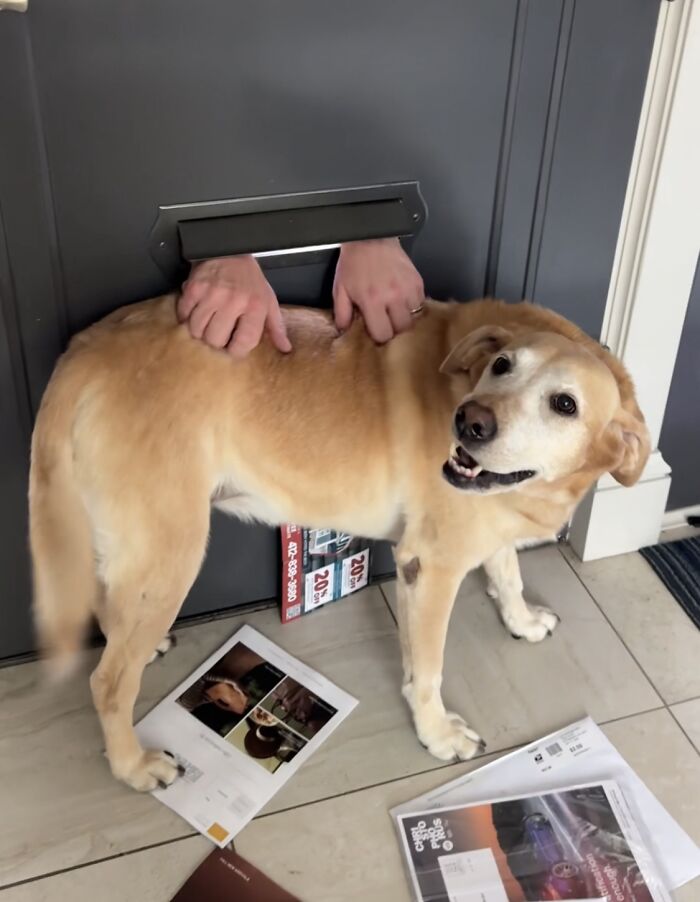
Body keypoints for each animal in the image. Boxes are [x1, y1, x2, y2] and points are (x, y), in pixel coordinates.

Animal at [30, 294, 648, 792]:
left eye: (564, 404)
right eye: (502, 366)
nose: (469, 423)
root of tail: (83, 349)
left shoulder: (486, 520)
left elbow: (507, 573)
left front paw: (522, 621)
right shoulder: (431, 567)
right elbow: (427, 670)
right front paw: (436, 733)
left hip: (140, 554)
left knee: (109, 608)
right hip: (171, 554)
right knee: (108, 681)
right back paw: (132, 766)